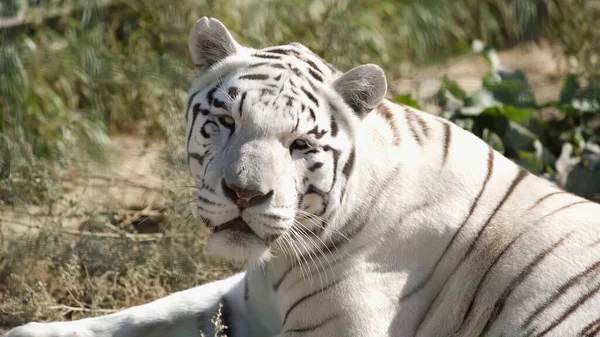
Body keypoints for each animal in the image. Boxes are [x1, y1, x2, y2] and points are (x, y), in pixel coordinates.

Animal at [7, 17, 600, 336]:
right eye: (226, 121)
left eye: (301, 146)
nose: (244, 193)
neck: (278, 260)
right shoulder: (242, 300)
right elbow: (146, 313)